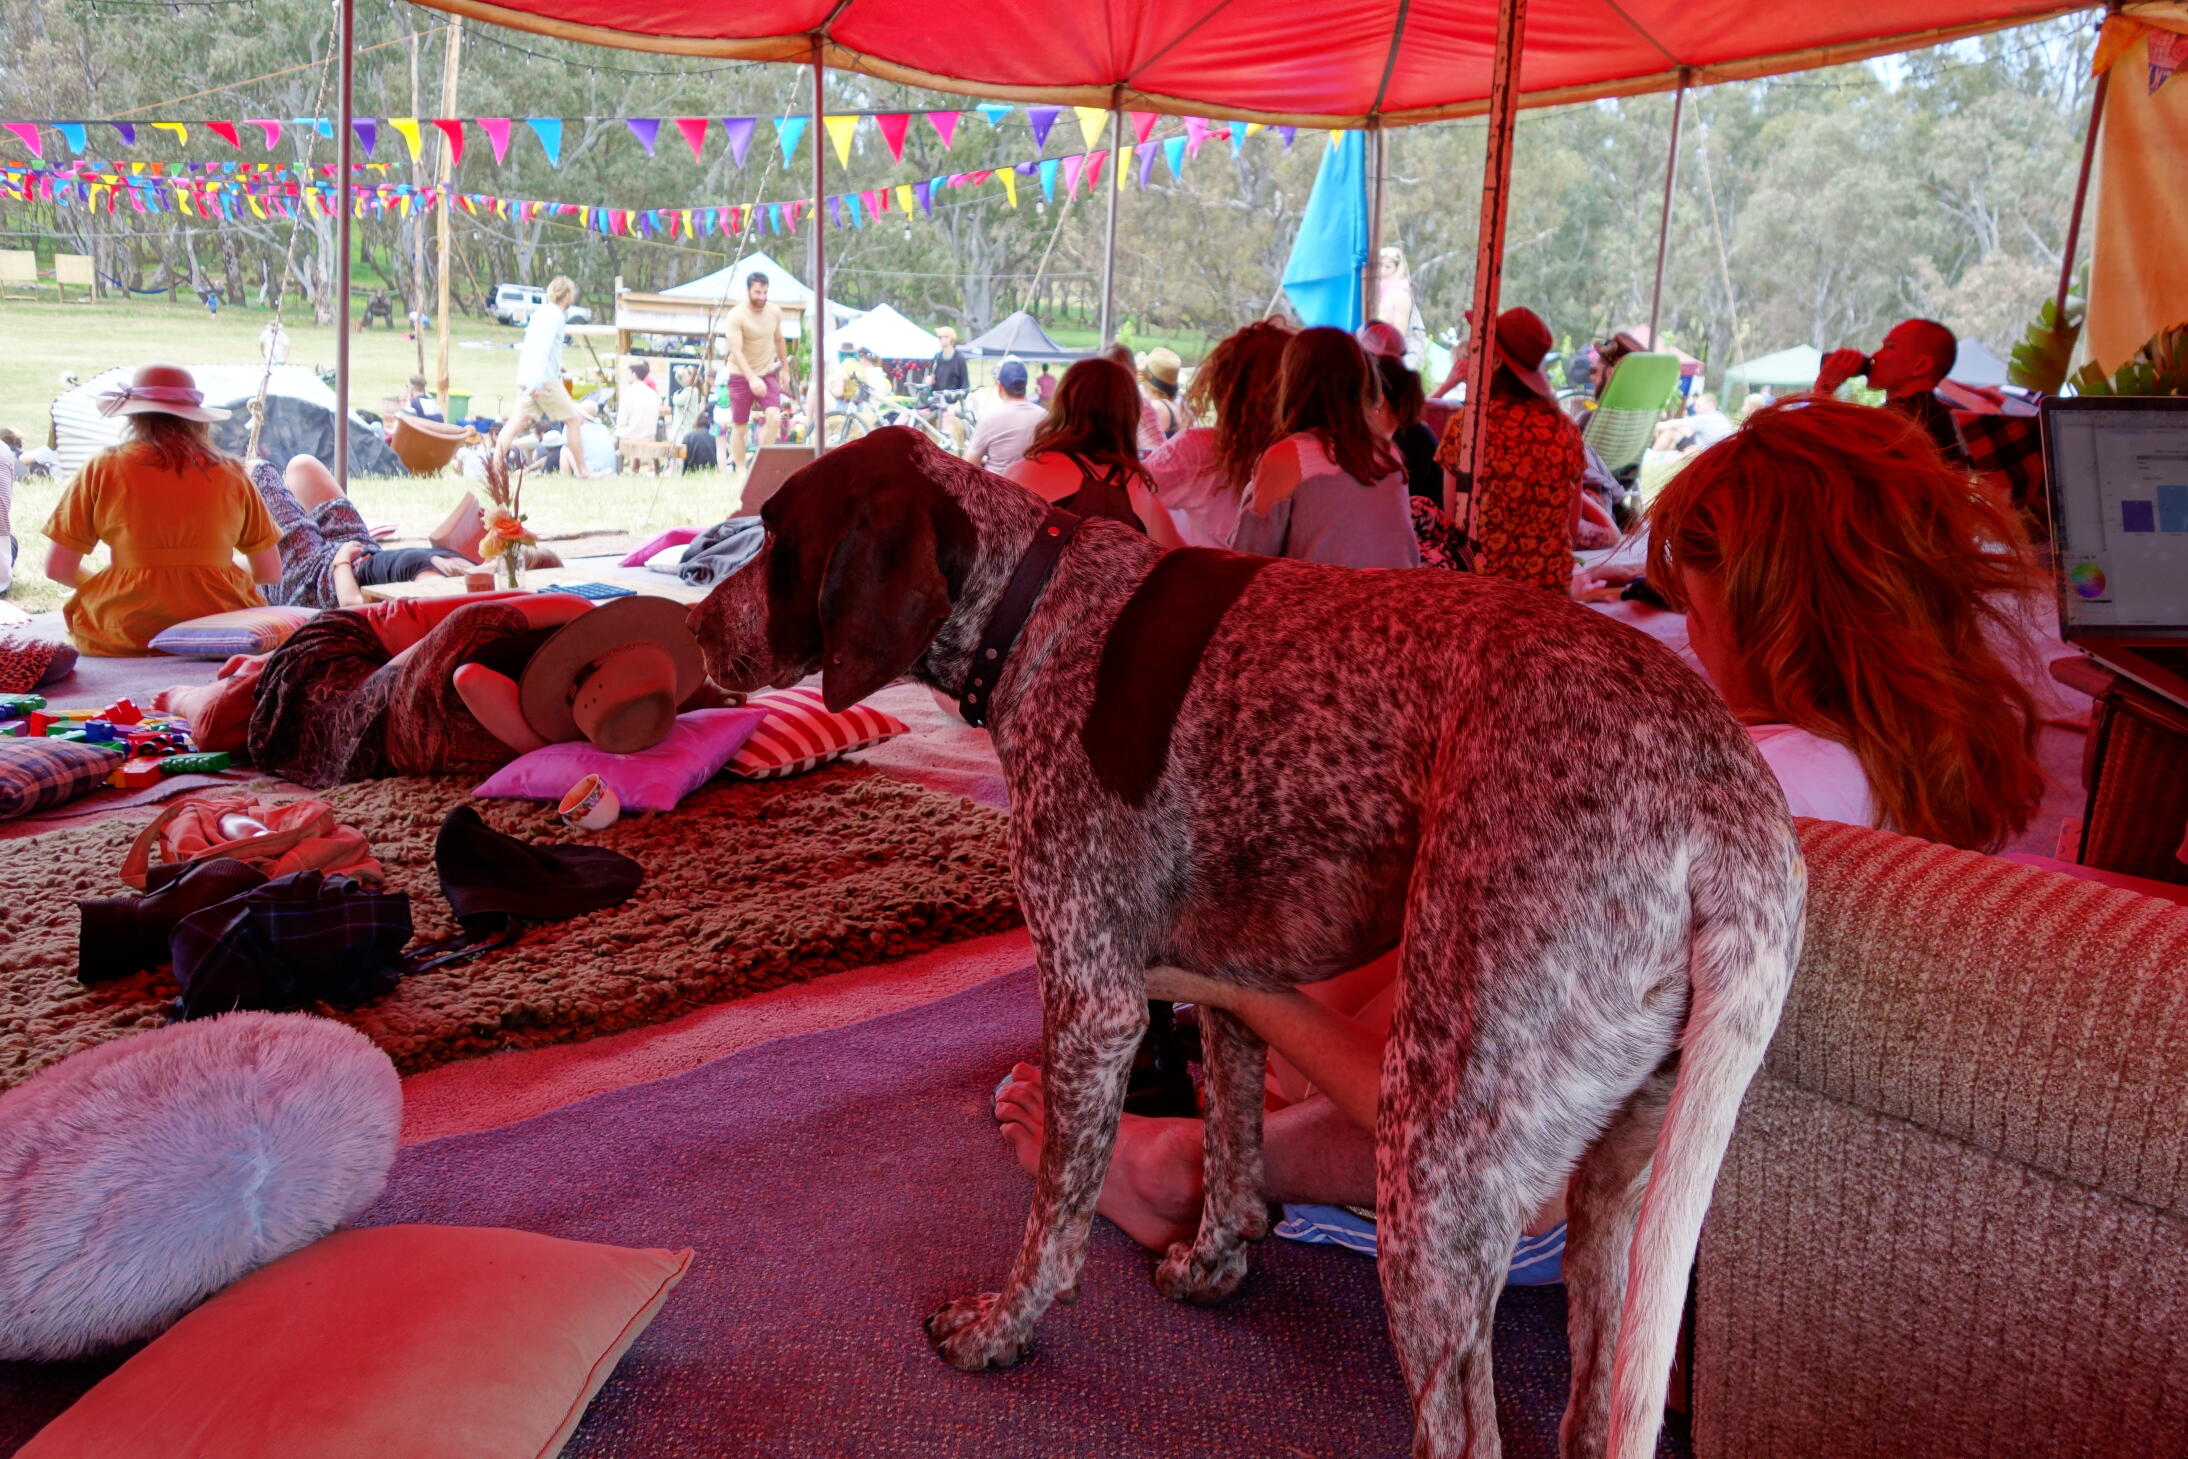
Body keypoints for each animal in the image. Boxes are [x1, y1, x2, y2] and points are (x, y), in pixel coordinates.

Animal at [688, 428, 1803, 1459]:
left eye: (779, 535)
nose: (695, 625)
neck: (1039, 611)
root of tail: (1730, 816)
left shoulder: (1091, 1002)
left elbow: (1054, 1218)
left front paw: (1002, 1330)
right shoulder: (1232, 989)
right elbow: (1232, 1145)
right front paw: (1213, 1264)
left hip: (1435, 1160)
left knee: (1463, 1429)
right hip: (1617, 1195)